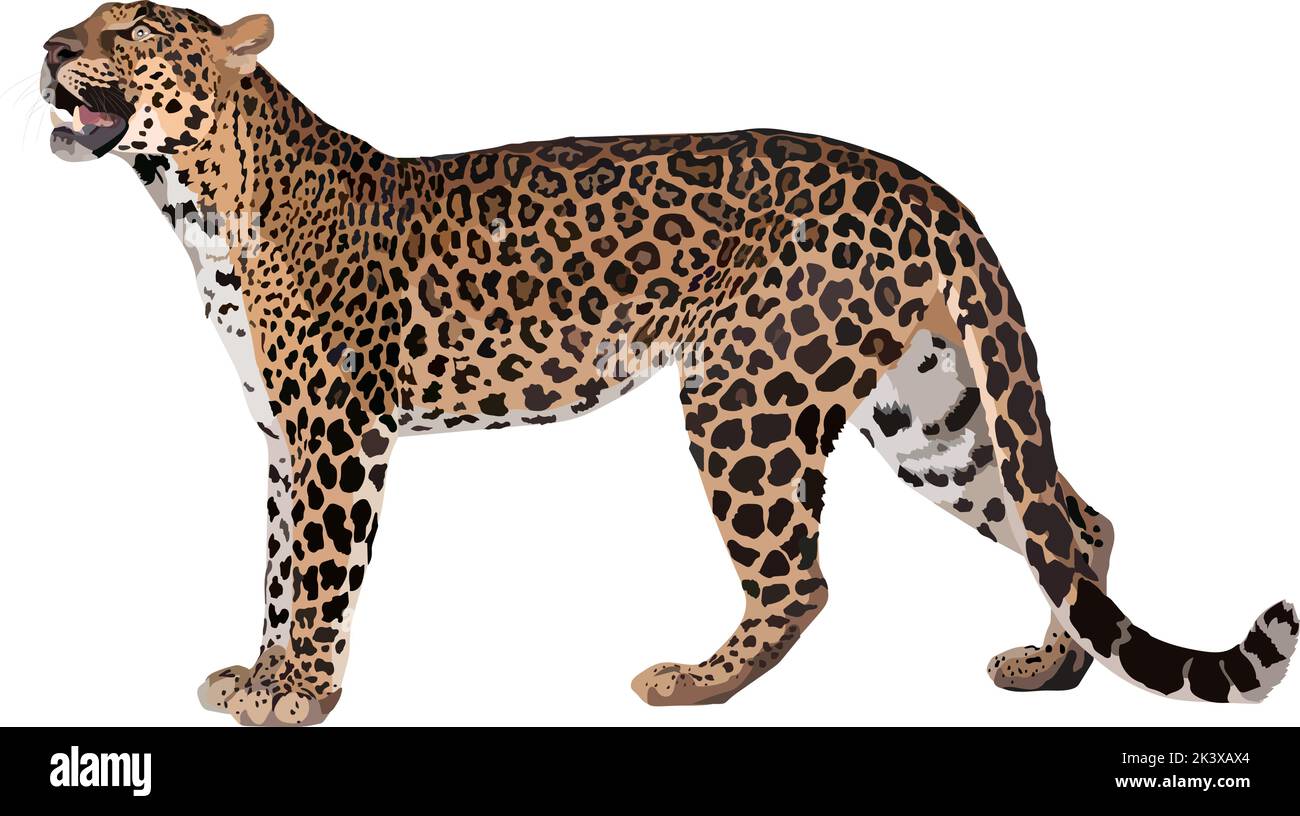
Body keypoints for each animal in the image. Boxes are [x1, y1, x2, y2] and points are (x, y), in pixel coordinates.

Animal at [39, 2, 1297, 725]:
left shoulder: (338, 430)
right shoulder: (282, 436)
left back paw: (692, 682)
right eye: (83, 24)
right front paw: (254, 676)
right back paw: (1051, 667)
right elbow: (272, 568)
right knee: (1072, 523)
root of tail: (930, 191)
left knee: (801, 580)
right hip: (928, 411)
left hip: (742, 394)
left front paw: (298, 696)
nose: (48, 49)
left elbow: (319, 575)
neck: (195, 201)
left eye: (131, 32)